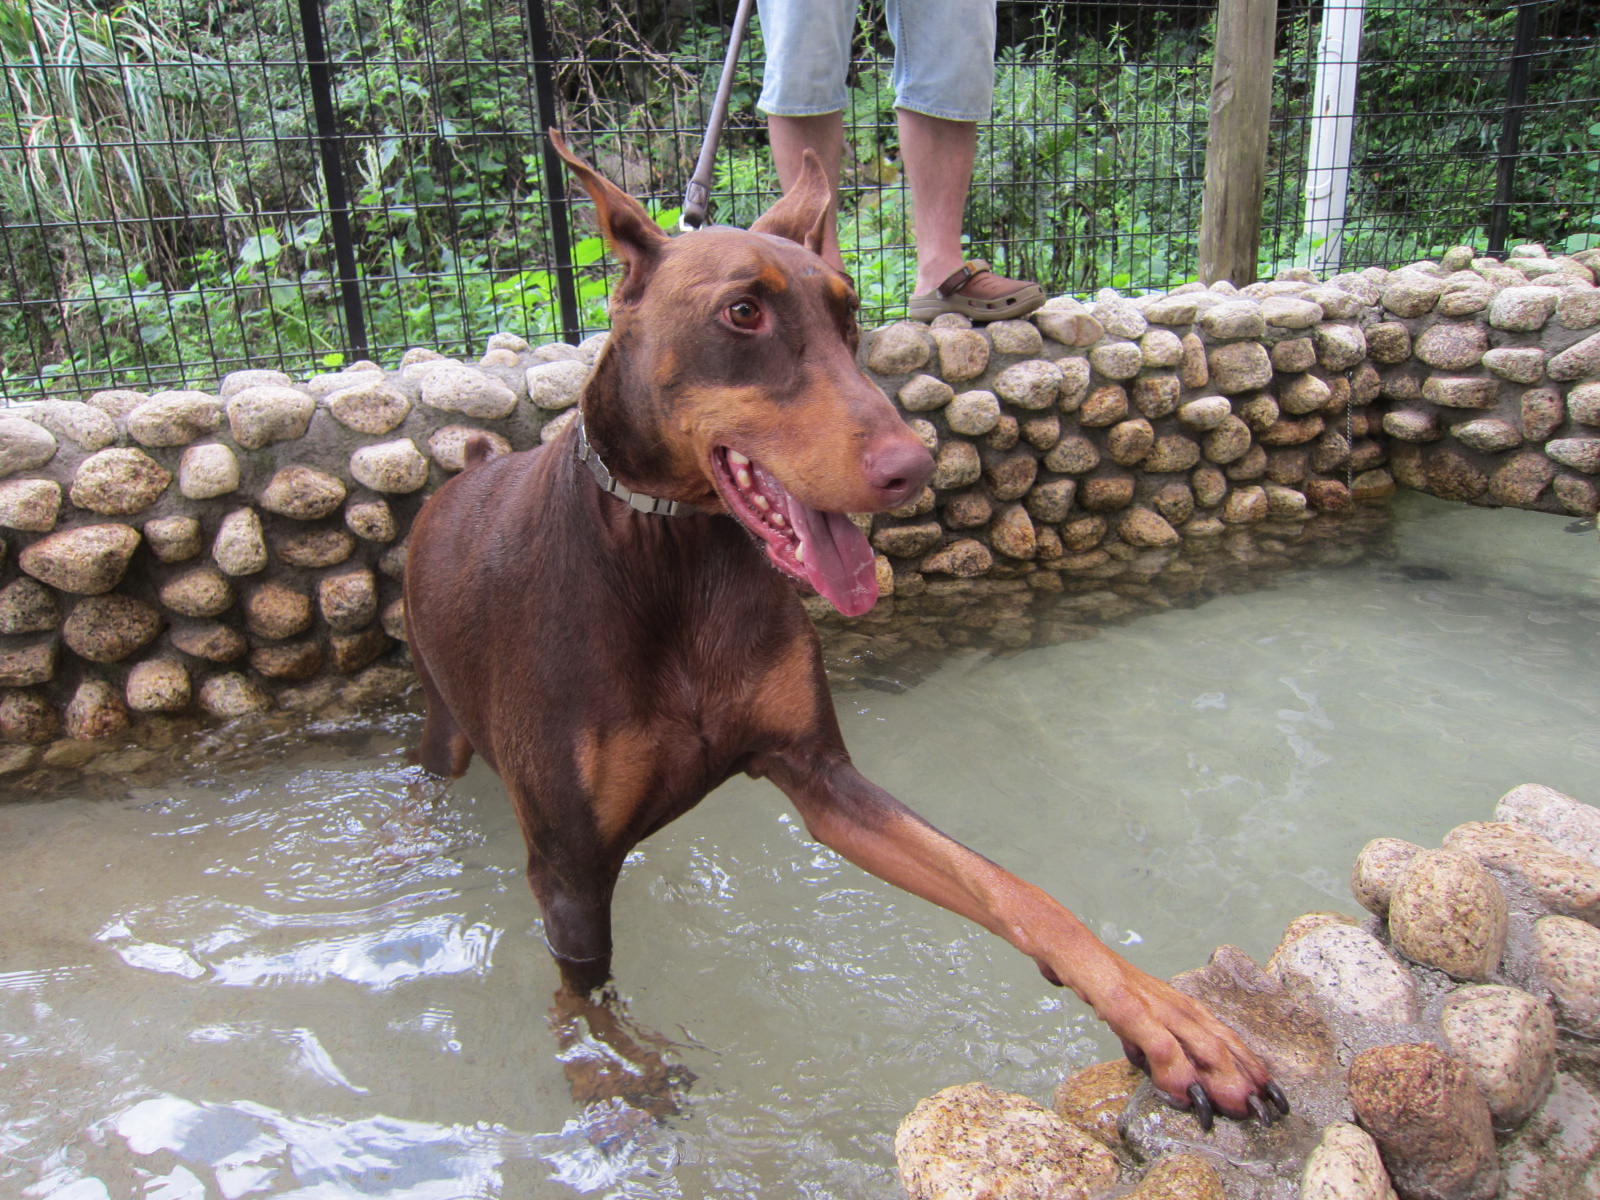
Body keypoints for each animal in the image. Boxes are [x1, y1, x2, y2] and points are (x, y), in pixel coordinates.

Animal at [403, 136, 1286, 1132]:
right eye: (742, 312)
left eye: (850, 311)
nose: (912, 467)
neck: (674, 557)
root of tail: (460, 476)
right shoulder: (569, 870)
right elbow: (584, 1006)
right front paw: (616, 1079)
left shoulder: (820, 776)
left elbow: (1011, 888)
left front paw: (1167, 1019)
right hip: (442, 722)